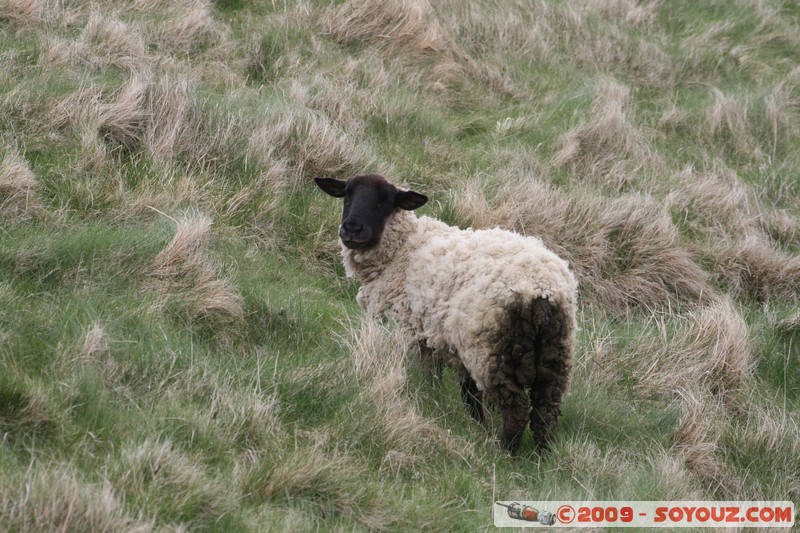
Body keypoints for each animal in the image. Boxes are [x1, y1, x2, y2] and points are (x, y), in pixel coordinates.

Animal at [315, 173, 578, 453]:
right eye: (347, 195)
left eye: (385, 202)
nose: (352, 229)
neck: (403, 250)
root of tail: (540, 291)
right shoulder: (452, 345)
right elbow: (470, 395)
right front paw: (476, 425)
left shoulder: (417, 336)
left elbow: (431, 381)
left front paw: (429, 404)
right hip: (555, 356)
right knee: (545, 414)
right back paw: (542, 457)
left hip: (490, 351)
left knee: (515, 411)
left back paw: (506, 454)